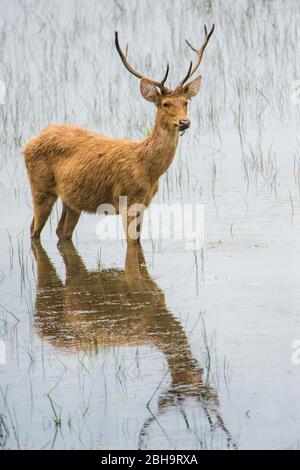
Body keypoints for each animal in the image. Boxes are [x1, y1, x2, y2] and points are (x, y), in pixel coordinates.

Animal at [22, 24, 216, 242]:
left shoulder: (144, 202)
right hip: (41, 186)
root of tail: (28, 143)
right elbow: (132, 243)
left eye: (186, 102)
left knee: (61, 231)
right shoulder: (128, 198)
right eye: (165, 104)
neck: (148, 168)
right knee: (34, 229)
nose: (184, 122)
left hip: (71, 200)